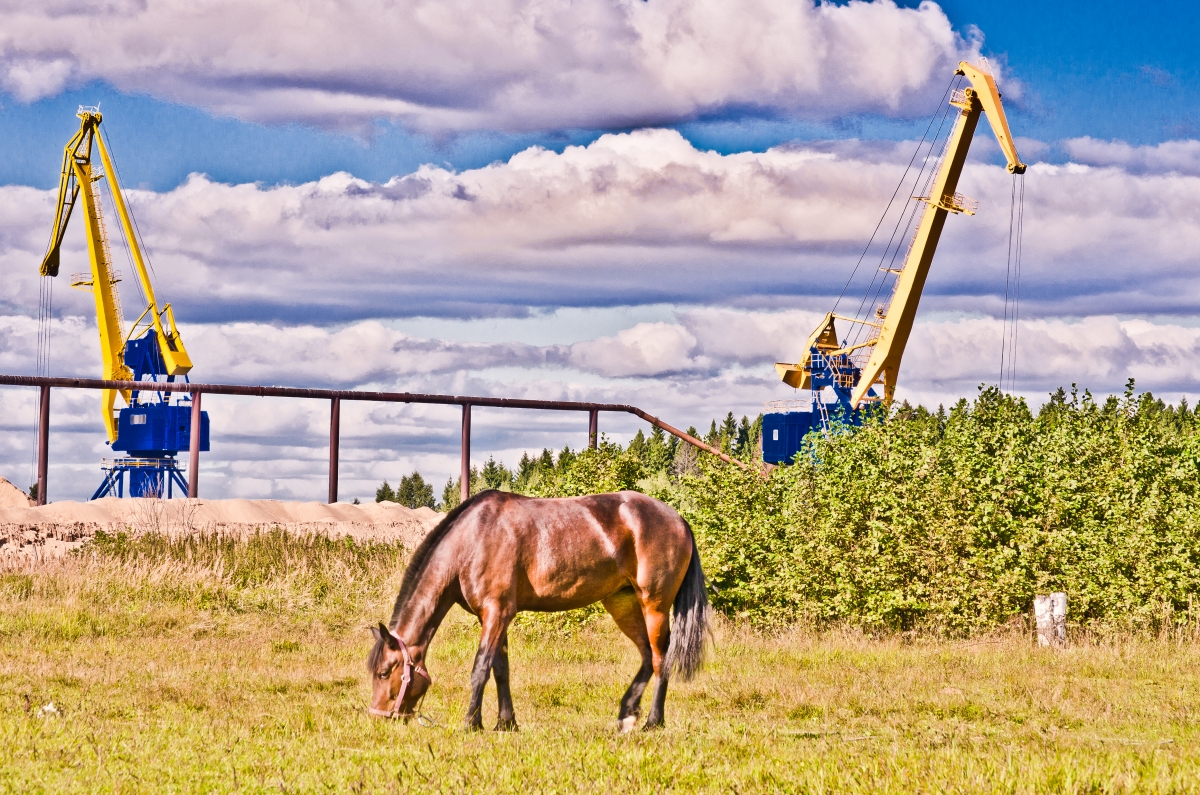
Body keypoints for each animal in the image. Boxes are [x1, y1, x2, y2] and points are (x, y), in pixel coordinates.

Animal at [362, 492, 700, 734]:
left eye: (384, 673)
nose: (377, 718)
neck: (471, 540)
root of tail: (679, 520)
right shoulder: (494, 617)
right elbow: (501, 669)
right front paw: (505, 723)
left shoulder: (496, 612)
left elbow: (480, 668)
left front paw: (472, 723)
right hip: (622, 604)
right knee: (646, 656)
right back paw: (626, 714)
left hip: (654, 606)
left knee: (660, 659)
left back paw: (653, 722)